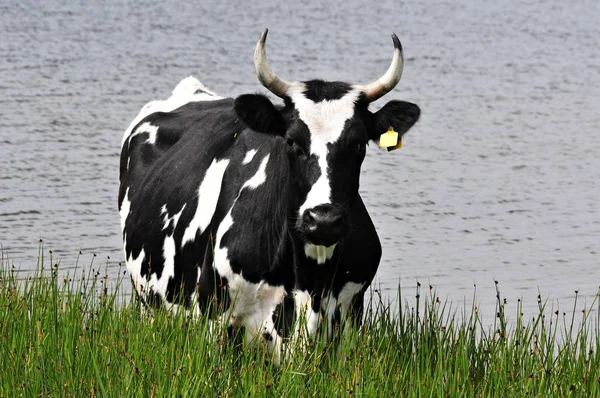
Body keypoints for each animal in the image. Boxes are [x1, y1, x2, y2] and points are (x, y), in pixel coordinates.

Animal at [119, 29, 420, 362]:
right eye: (291, 141)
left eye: (359, 144)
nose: (323, 220)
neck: (309, 281)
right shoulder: (214, 317)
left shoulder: (350, 314)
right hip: (150, 304)